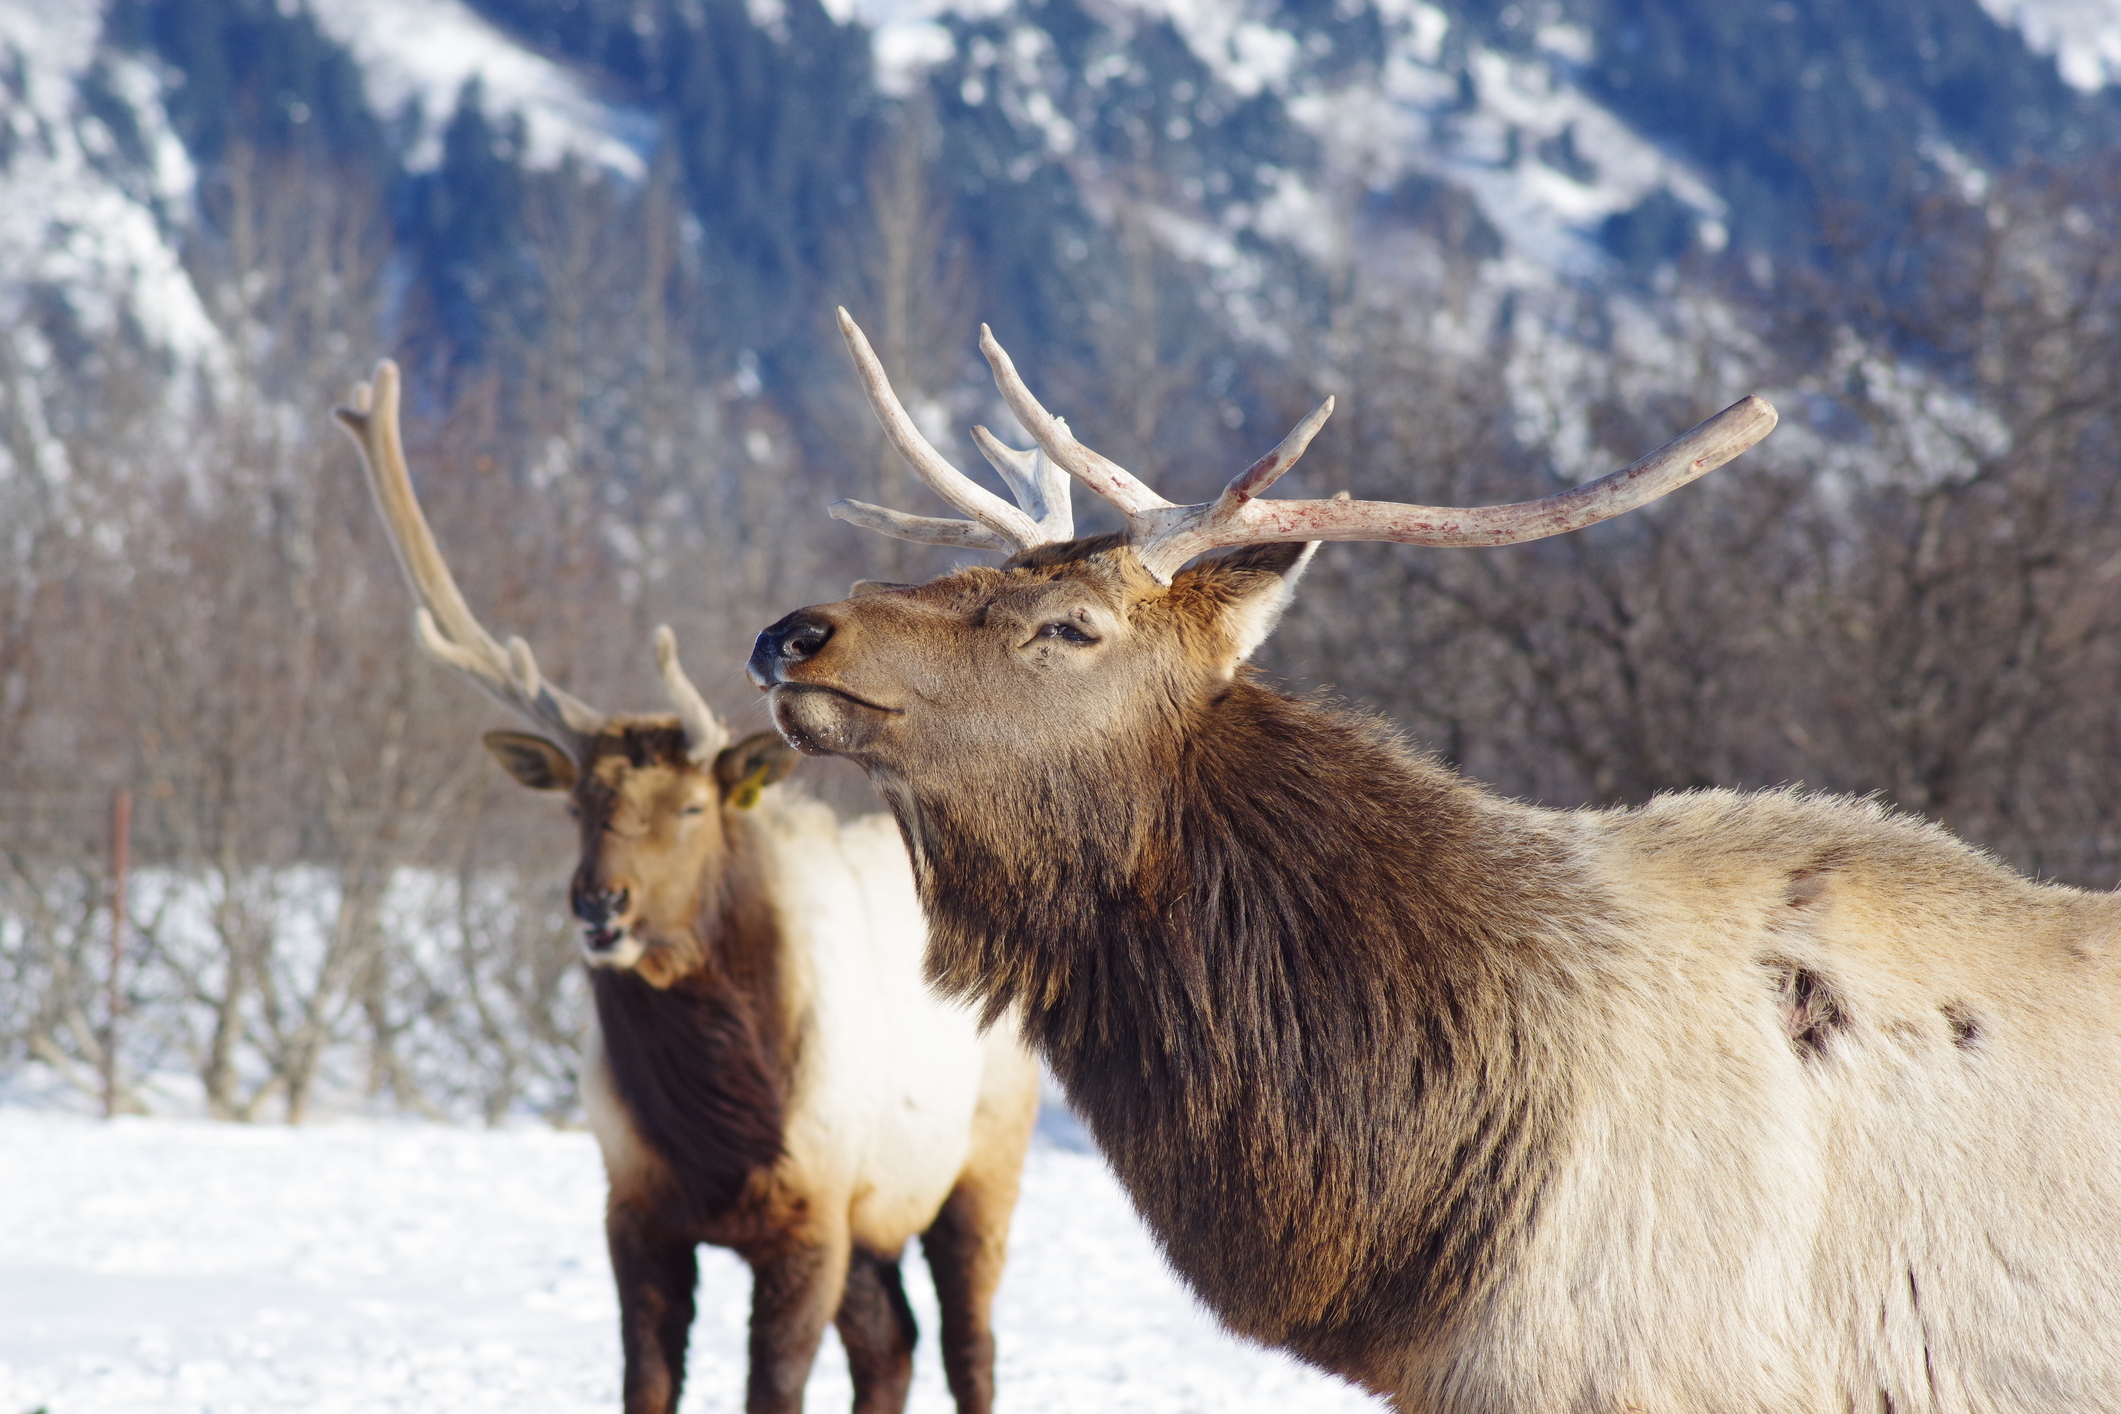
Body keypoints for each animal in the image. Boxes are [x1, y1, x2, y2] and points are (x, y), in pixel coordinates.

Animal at [328, 362, 1043, 1414]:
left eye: (697, 807)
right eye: (577, 803)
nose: (600, 904)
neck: (722, 1128)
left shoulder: (812, 1211)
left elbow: (773, 1389)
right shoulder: (637, 1206)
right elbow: (647, 1379)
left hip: (981, 1161)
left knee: (968, 1344)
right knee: (892, 1344)